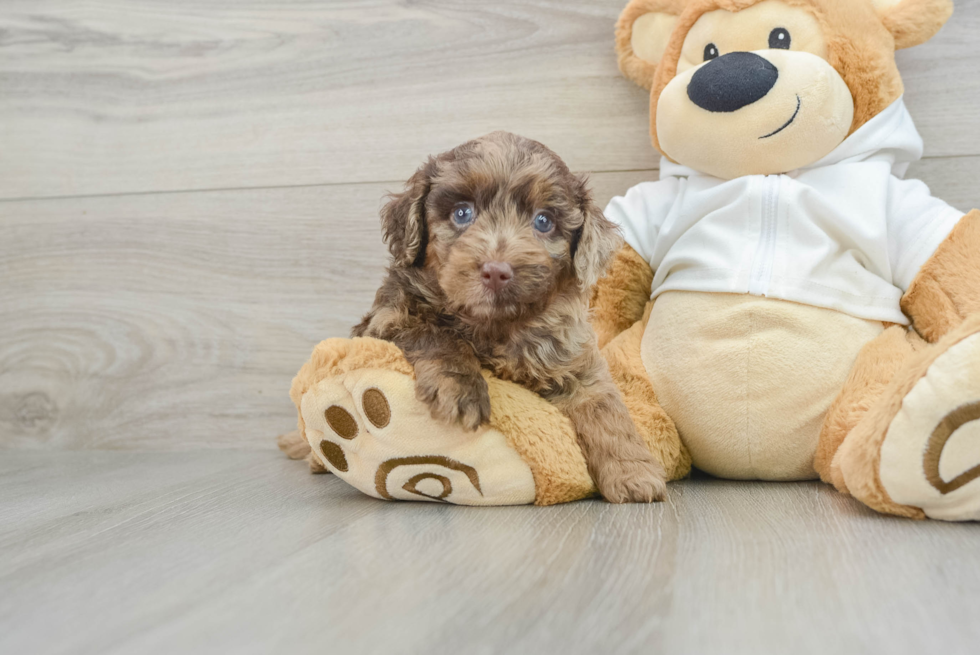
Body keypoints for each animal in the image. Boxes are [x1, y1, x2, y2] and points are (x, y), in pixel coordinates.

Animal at [352, 132, 668, 502]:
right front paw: (460, 388)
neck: (495, 325)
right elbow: (436, 334)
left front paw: (633, 474)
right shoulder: (388, 319)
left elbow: (605, 410)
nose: (496, 271)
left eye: (543, 221)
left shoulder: (576, 361)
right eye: (462, 213)